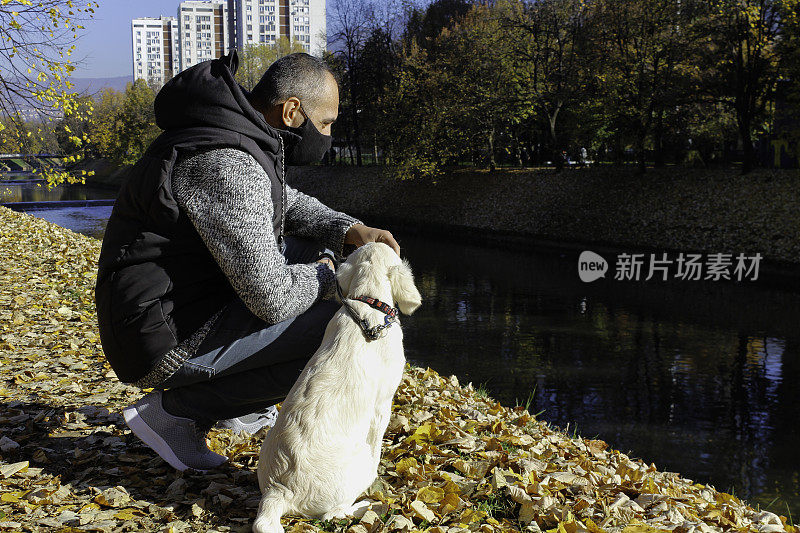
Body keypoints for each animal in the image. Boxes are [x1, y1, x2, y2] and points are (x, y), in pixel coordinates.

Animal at [253, 242, 422, 532]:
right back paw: (365, 506)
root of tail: (279, 491)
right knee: (333, 514)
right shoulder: (382, 405)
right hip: (358, 465)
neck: (369, 307)